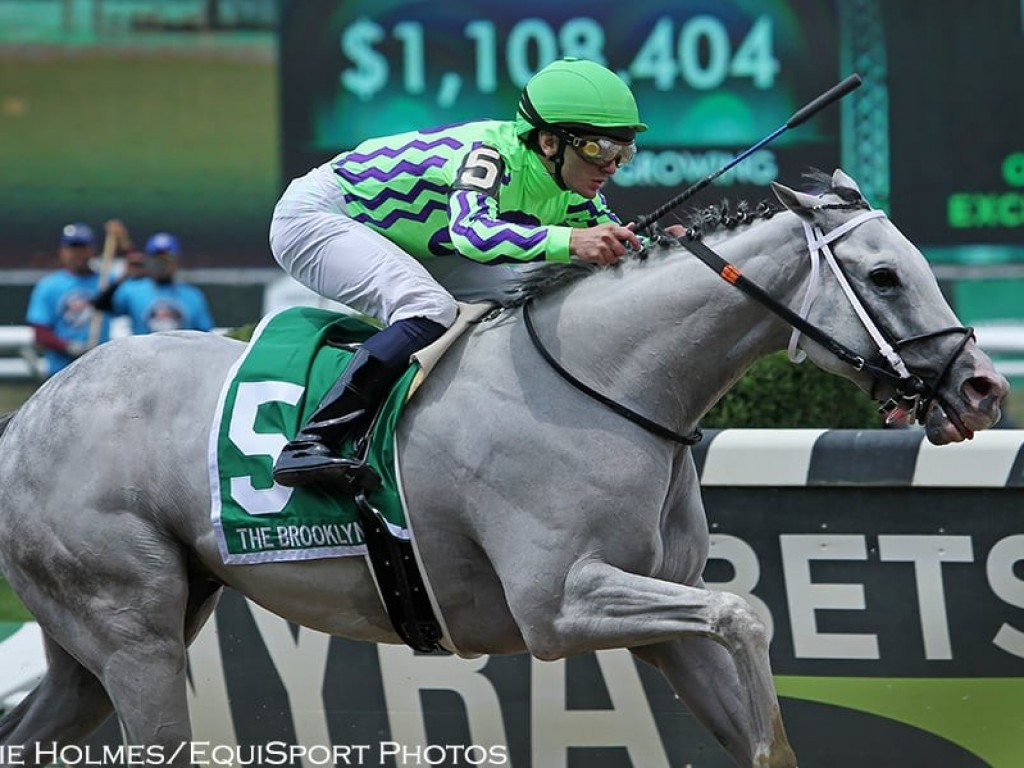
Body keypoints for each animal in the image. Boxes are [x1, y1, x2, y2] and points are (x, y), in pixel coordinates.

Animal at [0, 171, 1007, 765]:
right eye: (883, 275)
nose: (986, 386)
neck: (606, 380)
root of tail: (29, 416)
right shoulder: (557, 605)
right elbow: (745, 611)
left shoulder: (664, 619)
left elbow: (737, 649)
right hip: (134, 633)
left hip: (99, 644)